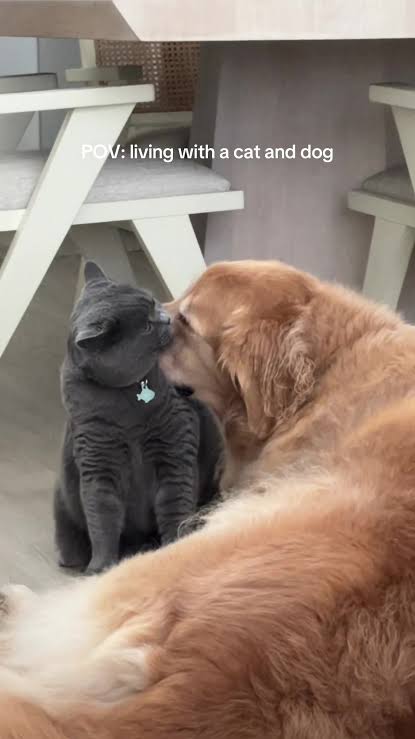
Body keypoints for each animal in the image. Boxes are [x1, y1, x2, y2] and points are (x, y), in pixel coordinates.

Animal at [55, 262, 224, 575]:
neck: (128, 410)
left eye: (153, 301)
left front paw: (171, 554)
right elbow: (101, 516)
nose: (166, 319)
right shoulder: (97, 461)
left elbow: (174, 508)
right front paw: (100, 568)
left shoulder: (175, 452)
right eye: (145, 326)